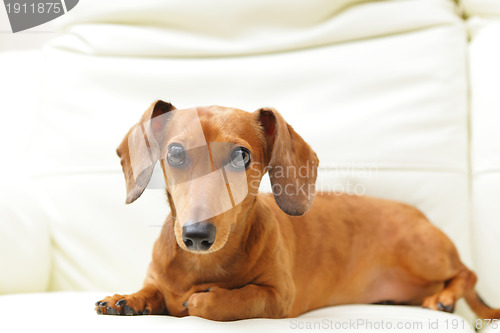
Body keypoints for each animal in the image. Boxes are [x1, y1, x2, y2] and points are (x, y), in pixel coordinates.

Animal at [96, 100, 500, 320]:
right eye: (176, 153)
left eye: (241, 155)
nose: (196, 235)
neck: (204, 265)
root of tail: (419, 214)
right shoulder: (159, 279)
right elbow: (153, 290)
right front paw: (128, 299)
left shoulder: (277, 297)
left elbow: (222, 301)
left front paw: (205, 298)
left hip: (422, 253)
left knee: (467, 274)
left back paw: (445, 297)